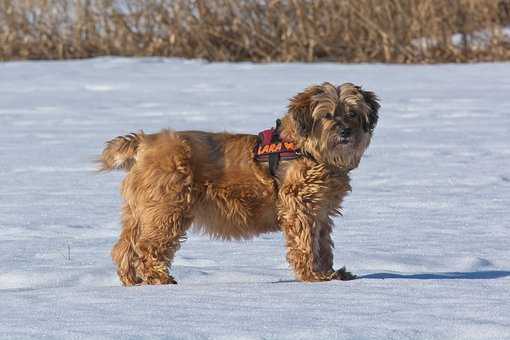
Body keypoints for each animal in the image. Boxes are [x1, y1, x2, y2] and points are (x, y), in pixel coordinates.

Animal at [99, 83, 378, 286]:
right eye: (327, 115)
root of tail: (144, 143)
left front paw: (331, 273)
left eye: (352, 113)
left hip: (140, 211)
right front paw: (314, 276)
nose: (345, 131)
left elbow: (323, 245)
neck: (307, 151)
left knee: (124, 246)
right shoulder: (301, 208)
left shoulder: (321, 213)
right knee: (147, 247)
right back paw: (159, 278)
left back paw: (131, 280)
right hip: (167, 209)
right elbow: (306, 244)